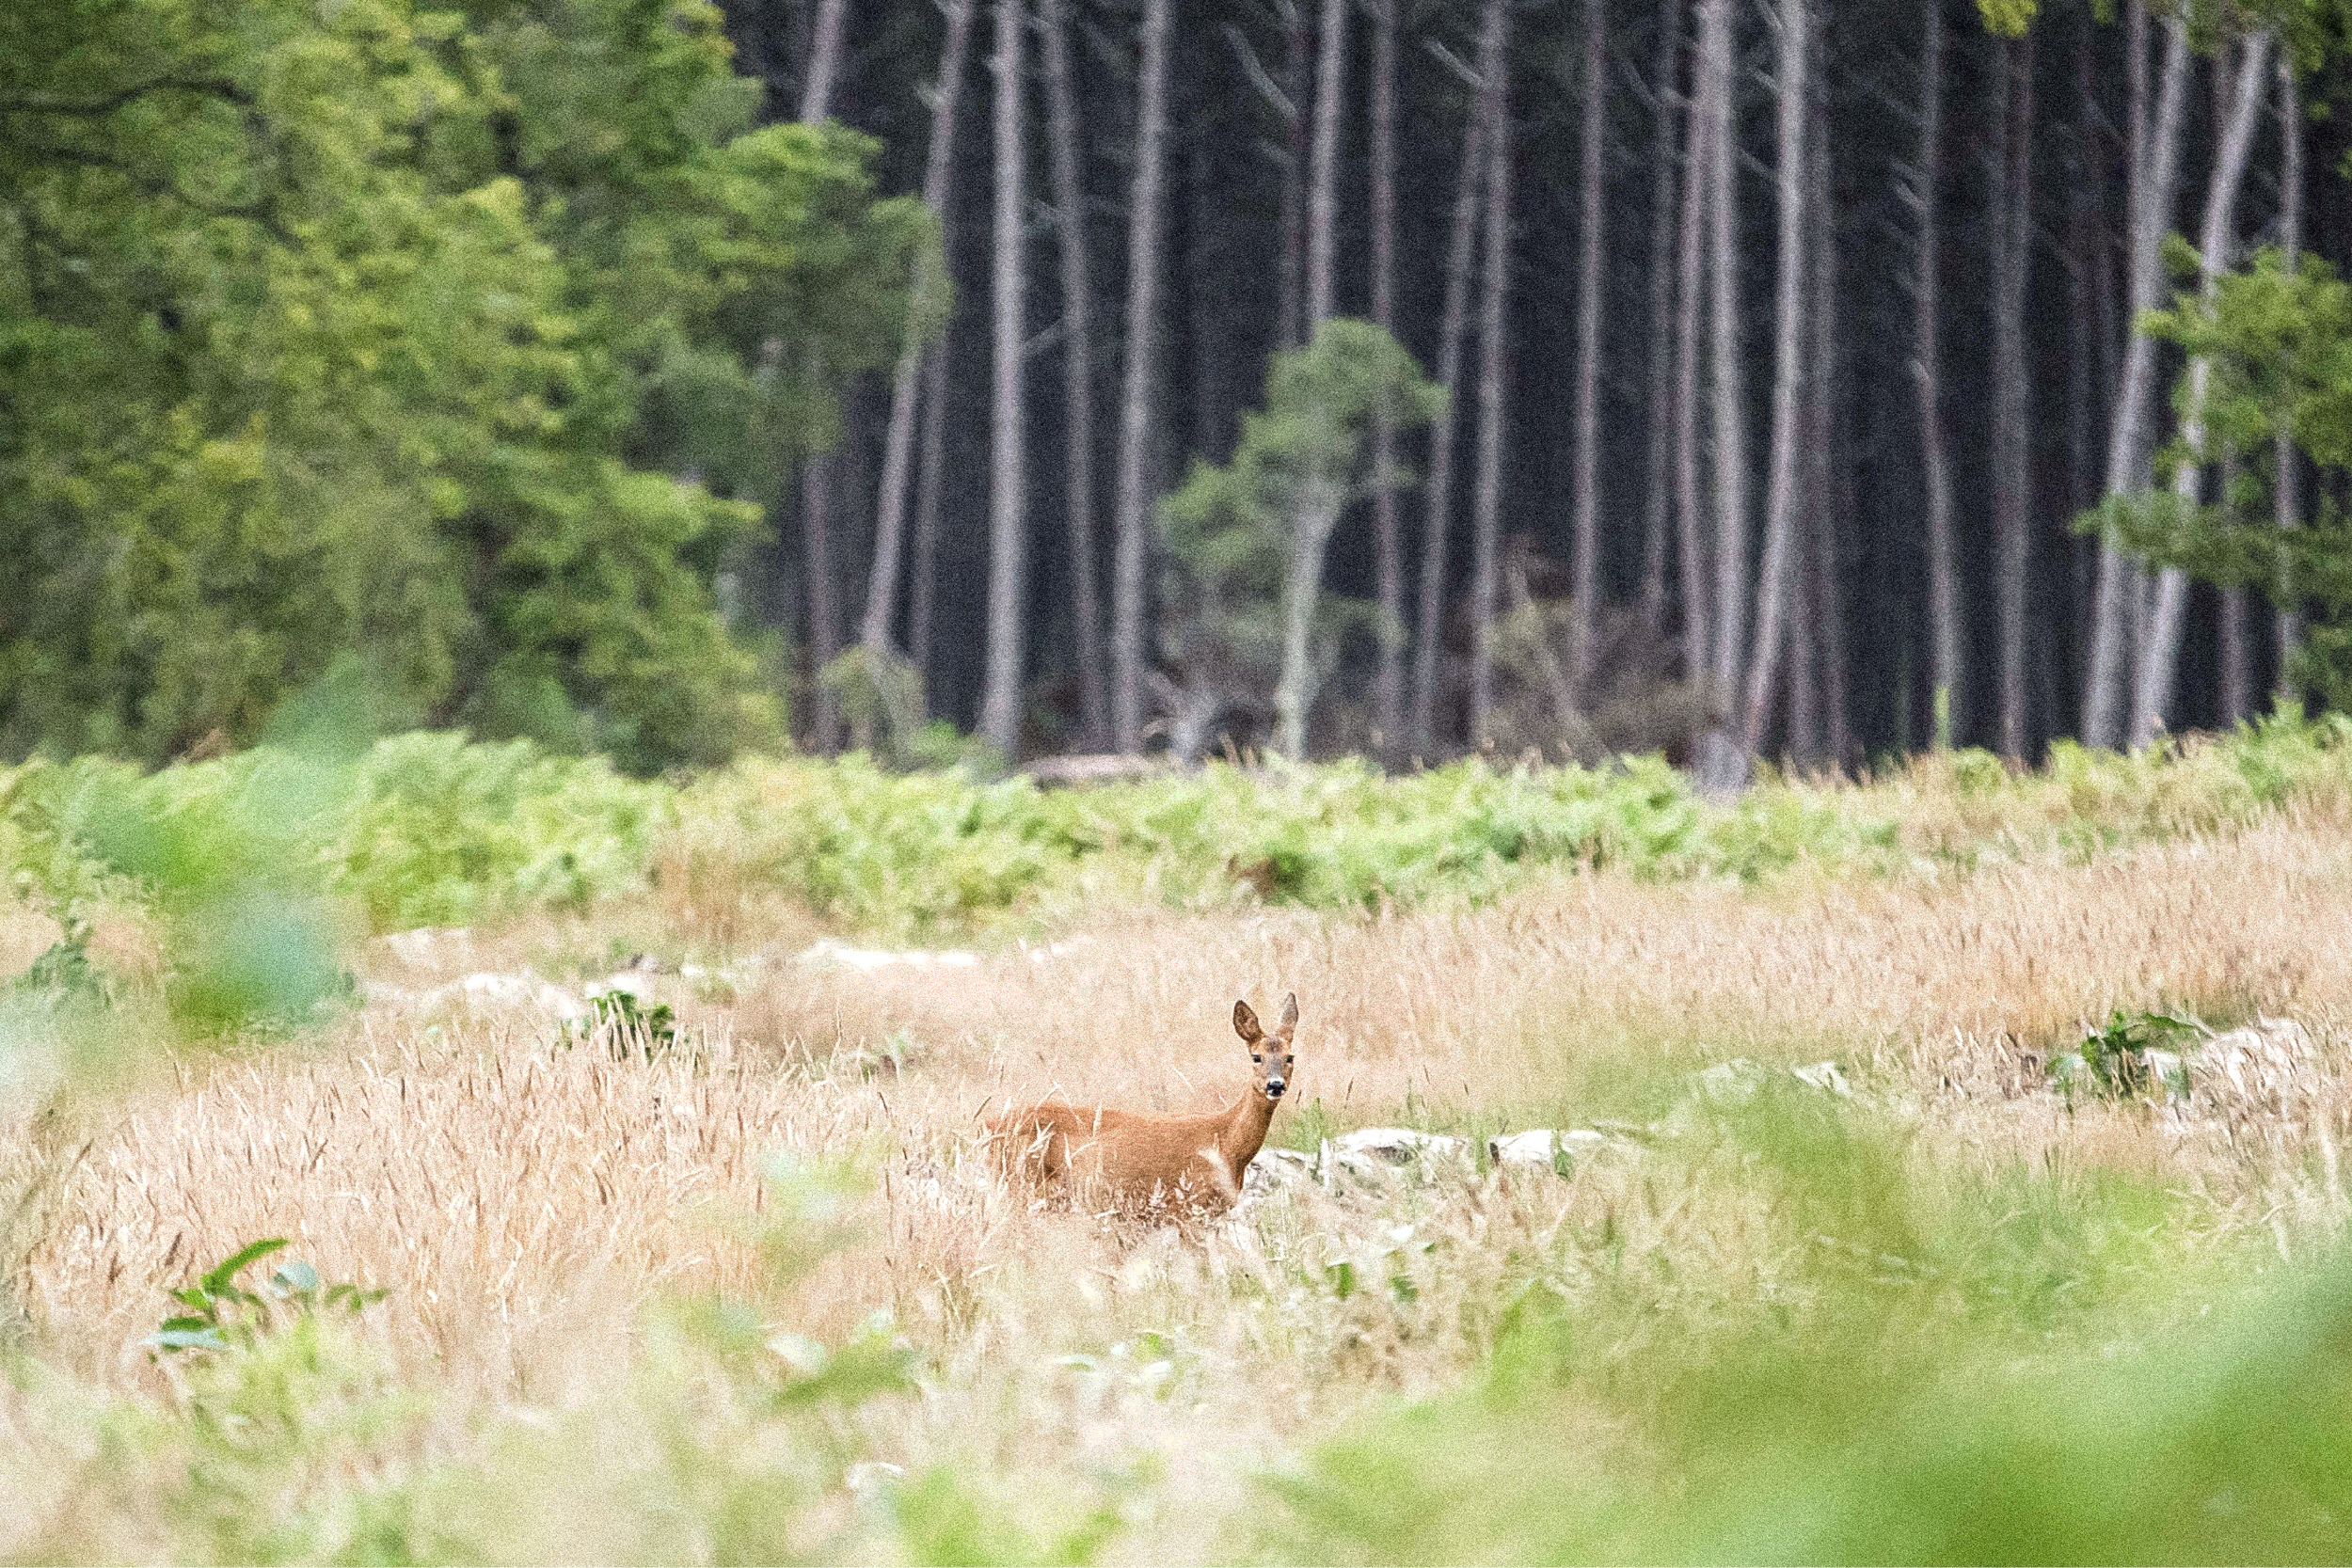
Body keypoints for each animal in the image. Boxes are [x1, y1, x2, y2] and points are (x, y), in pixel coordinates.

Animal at [987, 993, 1299, 1215]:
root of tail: (985, 1124)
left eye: (1290, 1056)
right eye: (1256, 1057)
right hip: (1019, 1183)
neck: (1225, 1143)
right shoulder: (1186, 1206)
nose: (1275, 1086)